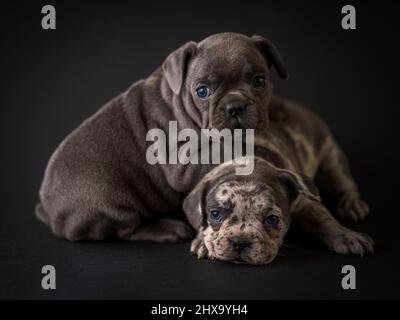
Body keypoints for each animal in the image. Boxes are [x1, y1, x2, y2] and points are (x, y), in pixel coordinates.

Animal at [34, 33, 288, 242]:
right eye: (202, 91)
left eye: (259, 81)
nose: (235, 106)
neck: (181, 102)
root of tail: (48, 212)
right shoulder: (183, 163)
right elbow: (221, 150)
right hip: (108, 200)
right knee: (127, 230)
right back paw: (168, 230)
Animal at [183, 101, 374, 264]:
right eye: (215, 214)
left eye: (272, 219)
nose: (240, 241)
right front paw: (202, 242)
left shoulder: (306, 203)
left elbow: (325, 219)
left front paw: (347, 236)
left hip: (330, 151)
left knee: (342, 178)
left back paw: (352, 203)